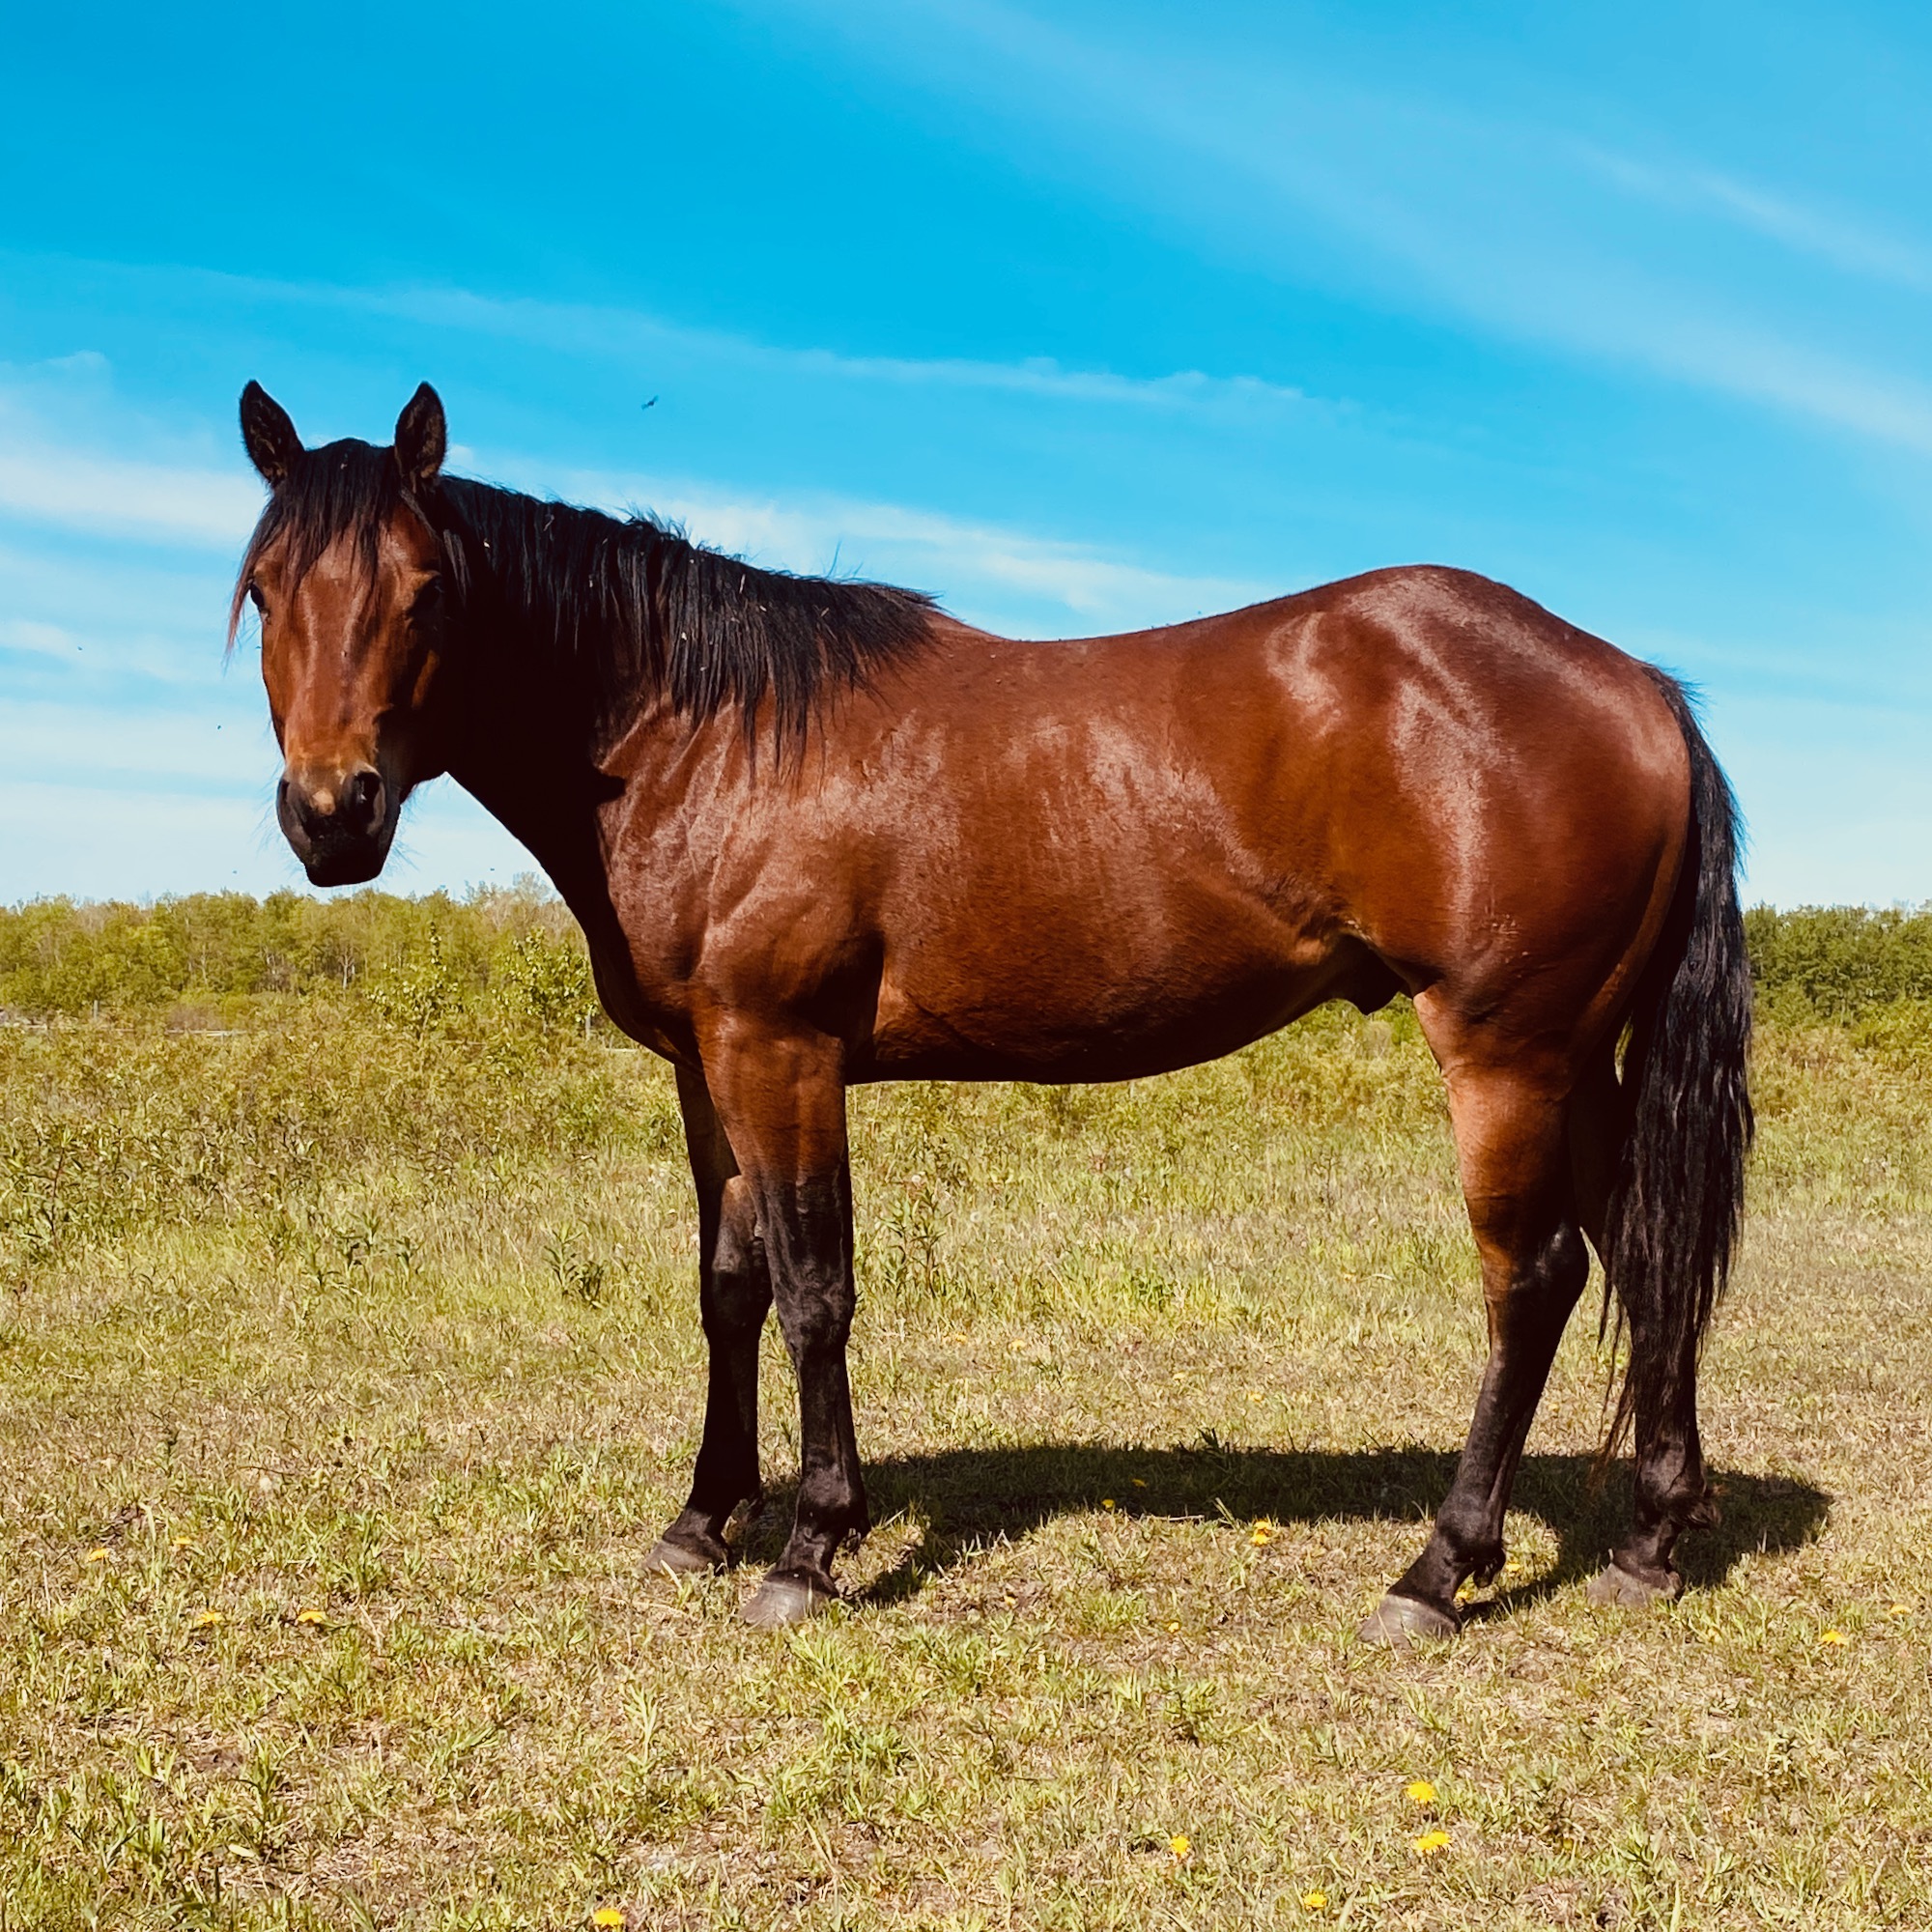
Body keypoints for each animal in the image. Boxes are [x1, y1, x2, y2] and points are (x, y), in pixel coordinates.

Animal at [230, 384, 1754, 1638]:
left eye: (426, 590)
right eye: (260, 588)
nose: (330, 813)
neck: (703, 733)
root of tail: (1638, 688)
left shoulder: (780, 1051)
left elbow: (814, 1290)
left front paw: (810, 1549)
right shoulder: (702, 1064)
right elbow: (728, 1289)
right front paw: (702, 1520)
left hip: (1505, 1053)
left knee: (1533, 1279)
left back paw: (1437, 1570)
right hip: (1580, 1058)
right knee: (1644, 1252)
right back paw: (1650, 1543)